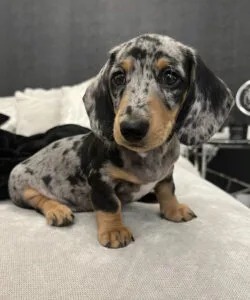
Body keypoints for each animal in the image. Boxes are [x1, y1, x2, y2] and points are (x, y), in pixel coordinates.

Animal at [8, 34, 234, 248]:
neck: (147, 157)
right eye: (118, 77)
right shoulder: (100, 179)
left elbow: (167, 191)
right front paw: (114, 231)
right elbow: (110, 205)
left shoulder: (167, 173)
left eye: (170, 76)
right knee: (38, 200)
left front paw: (174, 209)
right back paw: (57, 210)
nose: (131, 128)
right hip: (20, 184)